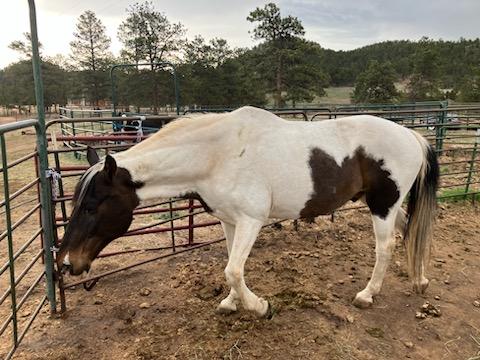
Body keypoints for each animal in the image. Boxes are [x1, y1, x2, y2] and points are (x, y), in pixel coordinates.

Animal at [56, 106, 438, 316]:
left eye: (92, 205)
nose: (66, 262)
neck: (217, 155)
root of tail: (412, 135)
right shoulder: (230, 221)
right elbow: (230, 266)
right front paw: (231, 303)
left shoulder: (251, 221)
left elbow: (234, 270)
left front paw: (259, 307)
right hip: (389, 205)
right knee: (410, 231)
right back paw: (419, 279)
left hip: (383, 205)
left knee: (385, 247)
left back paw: (367, 295)